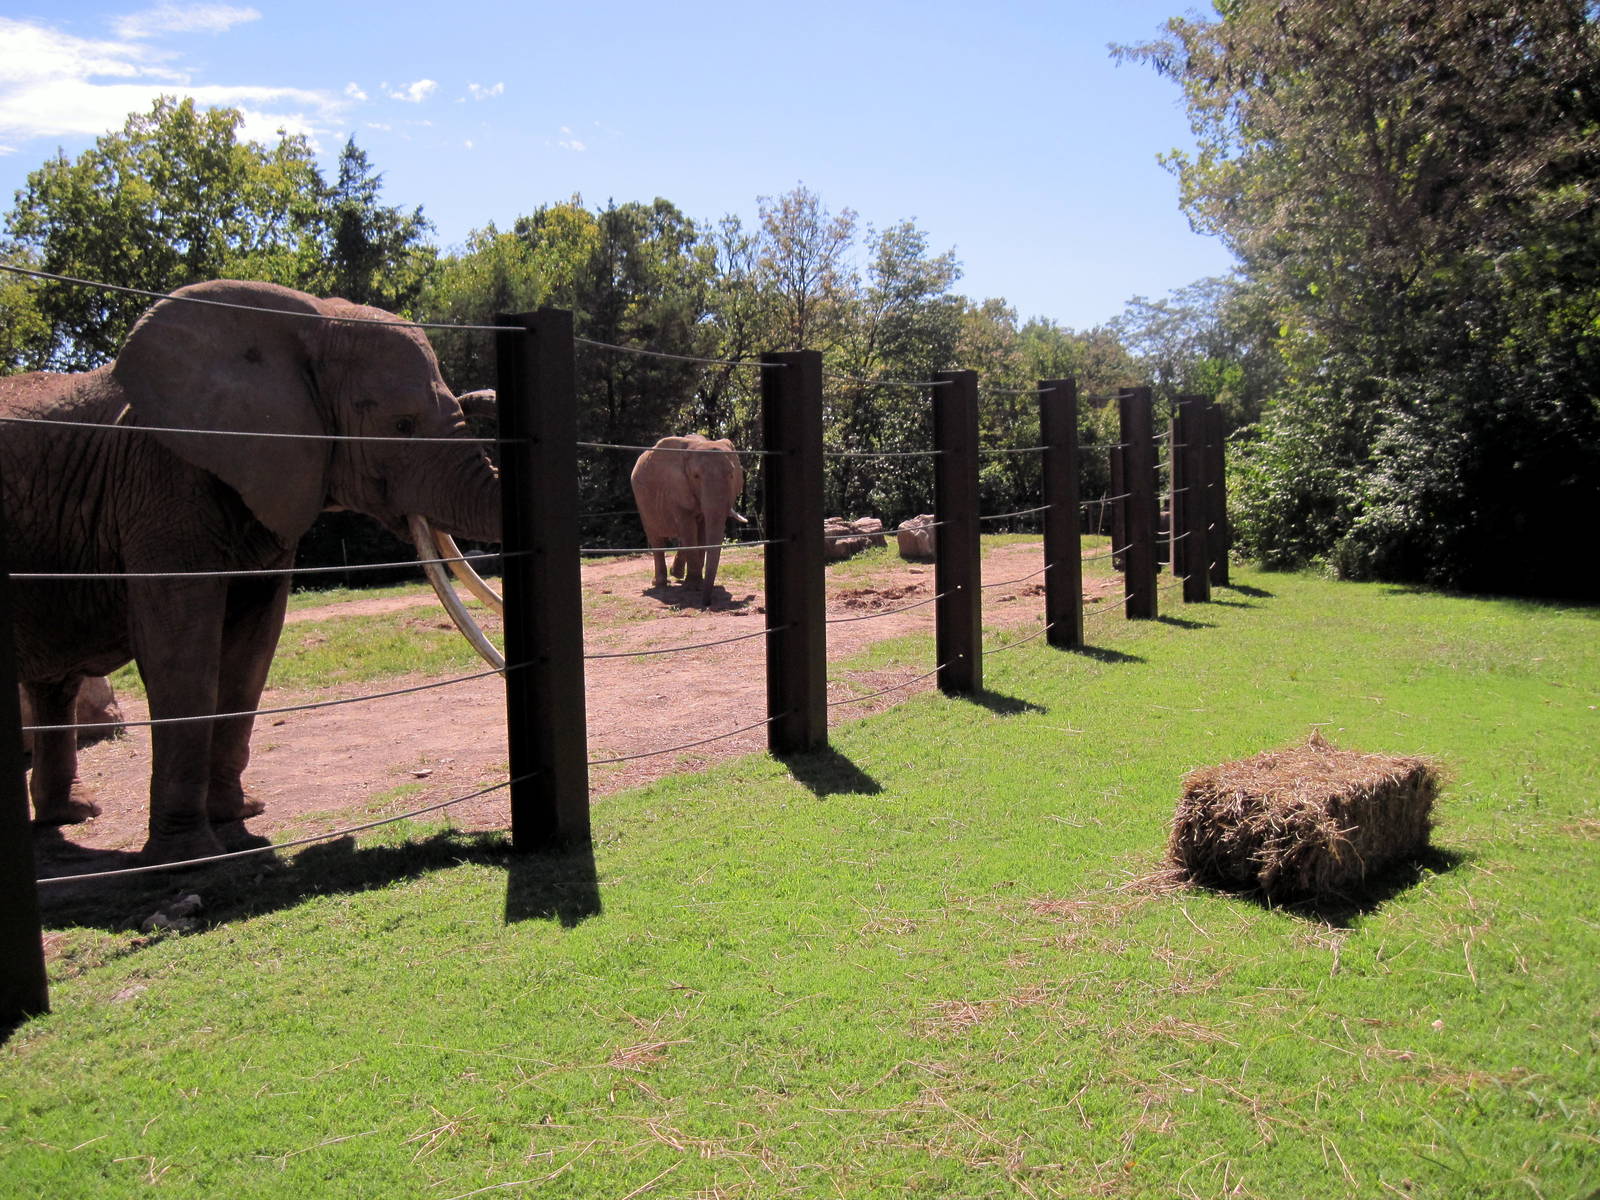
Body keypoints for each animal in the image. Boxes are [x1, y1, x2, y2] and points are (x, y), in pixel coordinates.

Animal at [0, 279, 502, 863]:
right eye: (400, 425)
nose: (480, 397)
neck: (309, 318)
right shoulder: (158, 481)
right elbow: (181, 654)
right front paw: (191, 855)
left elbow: (251, 652)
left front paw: (240, 815)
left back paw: (76, 814)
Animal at [629, 435, 746, 604]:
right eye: (696, 476)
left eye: (731, 475)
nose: (706, 603)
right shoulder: (676, 489)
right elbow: (689, 529)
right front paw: (694, 586)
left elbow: (701, 532)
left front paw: (696, 583)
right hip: (642, 501)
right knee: (656, 537)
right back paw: (660, 583)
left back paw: (676, 574)